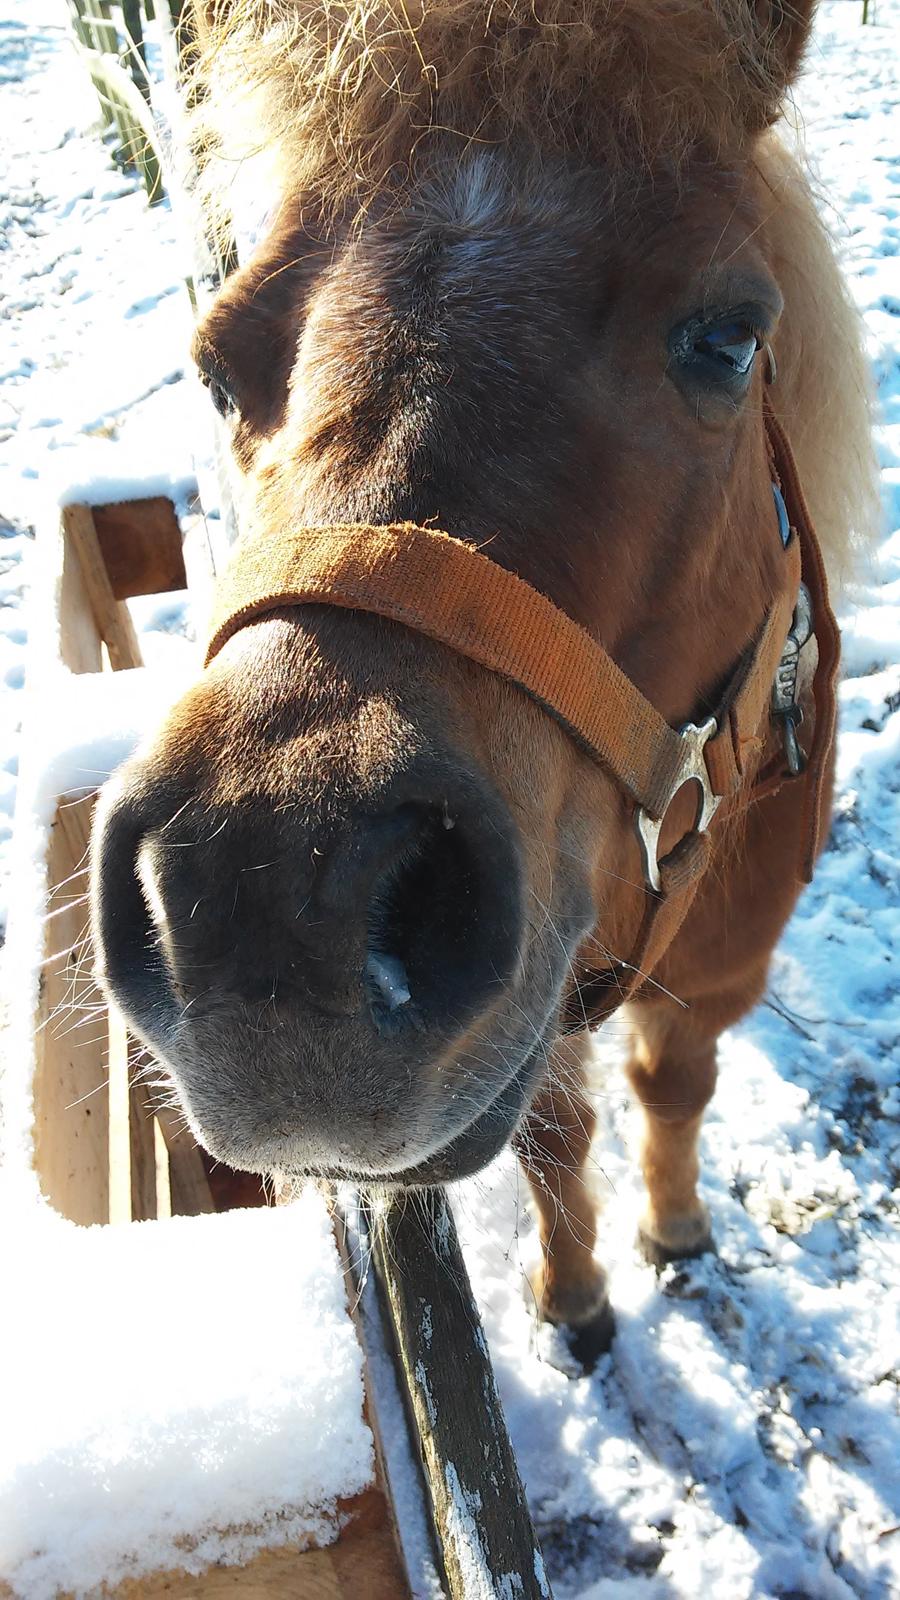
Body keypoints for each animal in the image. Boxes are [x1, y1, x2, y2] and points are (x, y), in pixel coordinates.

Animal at [87, 0, 871, 1363]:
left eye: (730, 339)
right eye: (218, 367)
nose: (270, 905)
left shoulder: (723, 957)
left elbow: (674, 1081)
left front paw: (675, 1231)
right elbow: (558, 1133)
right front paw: (576, 1299)